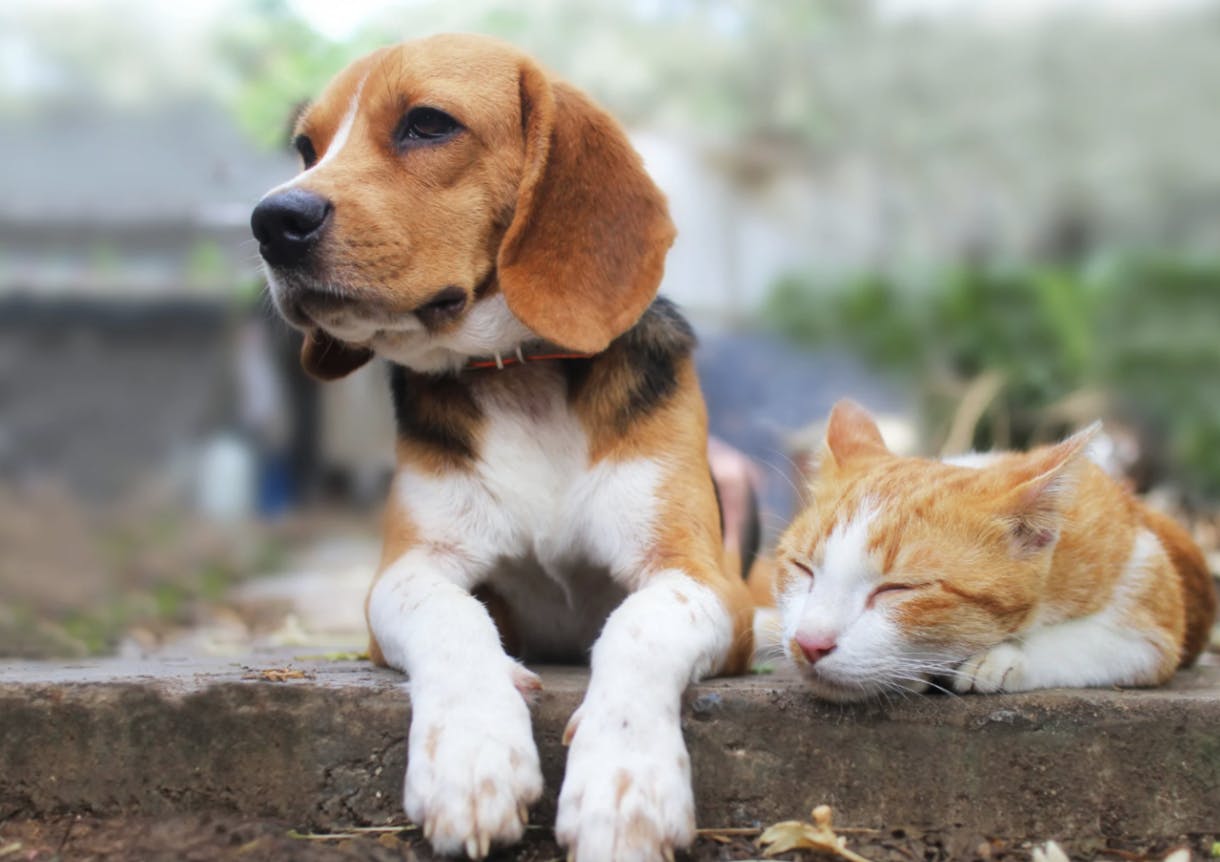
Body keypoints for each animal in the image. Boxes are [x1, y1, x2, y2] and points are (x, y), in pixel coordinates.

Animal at [251, 33, 751, 862]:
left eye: (427, 123)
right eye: (305, 148)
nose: (269, 220)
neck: (520, 376)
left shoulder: (704, 580)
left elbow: (639, 626)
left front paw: (625, 785)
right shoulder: (408, 571)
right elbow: (452, 617)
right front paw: (471, 755)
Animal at [775, 399, 1215, 702]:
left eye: (898, 589)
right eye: (802, 568)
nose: (809, 643)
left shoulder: (1153, 614)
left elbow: (1094, 642)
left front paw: (1000, 658)